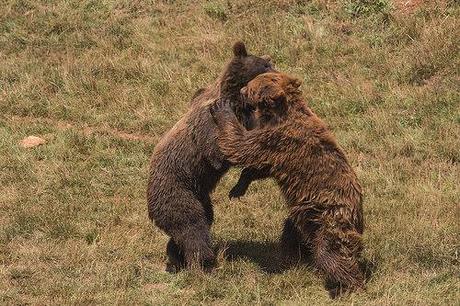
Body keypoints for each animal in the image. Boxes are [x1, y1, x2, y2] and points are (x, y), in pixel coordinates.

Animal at [147, 41, 274, 272]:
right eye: (265, 65)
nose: (276, 71)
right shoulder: (208, 125)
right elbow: (218, 151)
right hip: (178, 190)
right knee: (191, 225)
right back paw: (204, 262)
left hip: (201, 194)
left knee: (201, 221)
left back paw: (176, 257)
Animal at [210, 72, 364, 296]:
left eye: (250, 87)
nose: (240, 91)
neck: (278, 114)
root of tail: (357, 212)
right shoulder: (275, 149)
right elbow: (258, 165)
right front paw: (238, 187)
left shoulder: (279, 140)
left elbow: (242, 147)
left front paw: (221, 108)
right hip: (305, 217)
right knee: (291, 233)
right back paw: (292, 260)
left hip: (330, 215)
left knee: (331, 252)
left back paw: (347, 286)